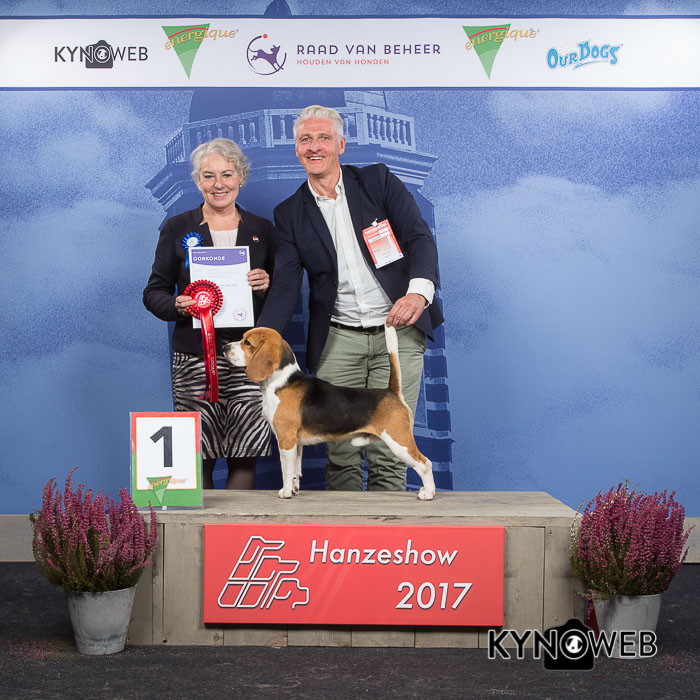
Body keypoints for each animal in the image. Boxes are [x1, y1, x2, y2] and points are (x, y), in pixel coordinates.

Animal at [224, 326, 436, 501]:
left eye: (247, 342)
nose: (225, 347)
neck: (280, 382)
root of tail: (392, 391)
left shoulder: (286, 439)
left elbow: (286, 470)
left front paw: (285, 492)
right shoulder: (297, 442)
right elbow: (295, 471)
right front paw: (294, 489)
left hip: (399, 442)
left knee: (425, 463)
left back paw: (428, 493)